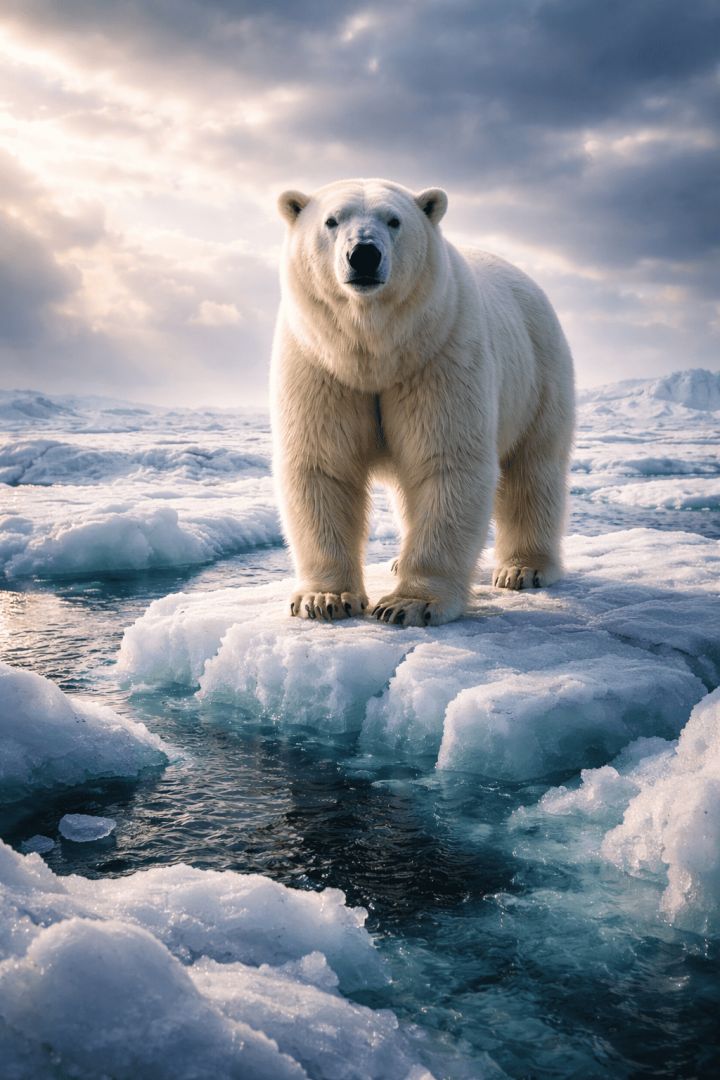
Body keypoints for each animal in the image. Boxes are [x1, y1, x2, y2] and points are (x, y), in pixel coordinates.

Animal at [271, 178, 575, 627]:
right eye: (331, 220)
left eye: (394, 220)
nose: (364, 253)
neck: (375, 352)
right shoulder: (320, 367)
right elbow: (323, 465)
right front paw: (324, 599)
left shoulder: (439, 355)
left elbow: (446, 464)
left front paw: (407, 604)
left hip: (540, 373)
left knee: (534, 468)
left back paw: (524, 568)